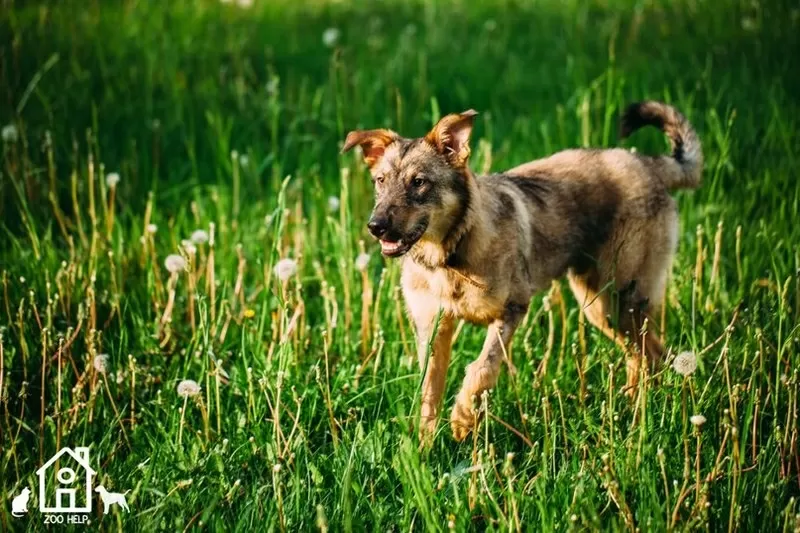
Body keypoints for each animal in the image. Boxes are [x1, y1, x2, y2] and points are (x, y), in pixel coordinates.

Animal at [340, 101, 704, 440]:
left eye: (418, 183)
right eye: (380, 181)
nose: (376, 227)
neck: (450, 256)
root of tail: (650, 164)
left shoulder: (512, 309)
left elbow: (481, 368)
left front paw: (463, 419)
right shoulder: (432, 328)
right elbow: (429, 393)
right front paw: (423, 449)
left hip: (618, 300)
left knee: (654, 354)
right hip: (600, 306)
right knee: (643, 356)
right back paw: (631, 406)